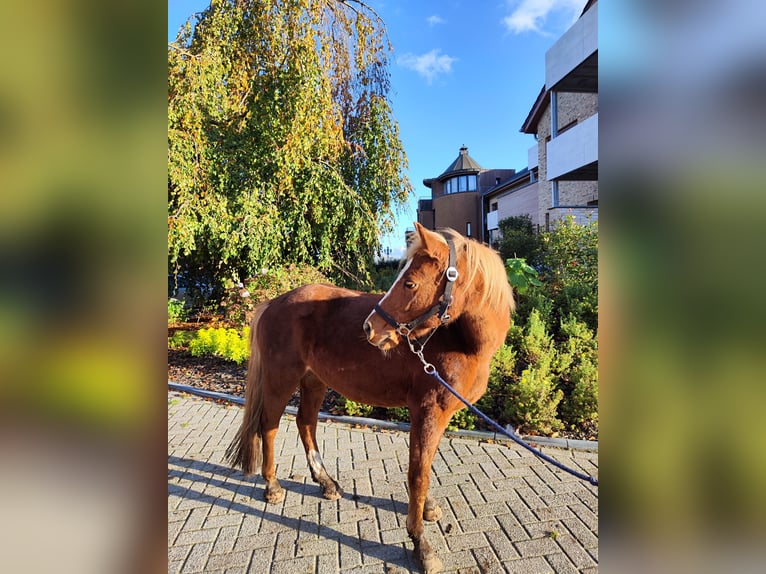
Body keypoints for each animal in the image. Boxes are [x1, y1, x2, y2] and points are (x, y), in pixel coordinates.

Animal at [228, 224, 516, 574]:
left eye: (410, 282)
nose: (370, 328)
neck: (460, 342)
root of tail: (274, 302)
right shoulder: (427, 411)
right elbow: (418, 472)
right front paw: (421, 543)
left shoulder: (440, 414)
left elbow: (426, 464)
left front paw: (427, 510)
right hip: (280, 379)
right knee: (269, 425)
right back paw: (272, 486)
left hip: (314, 380)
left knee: (305, 422)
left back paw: (326, 482)